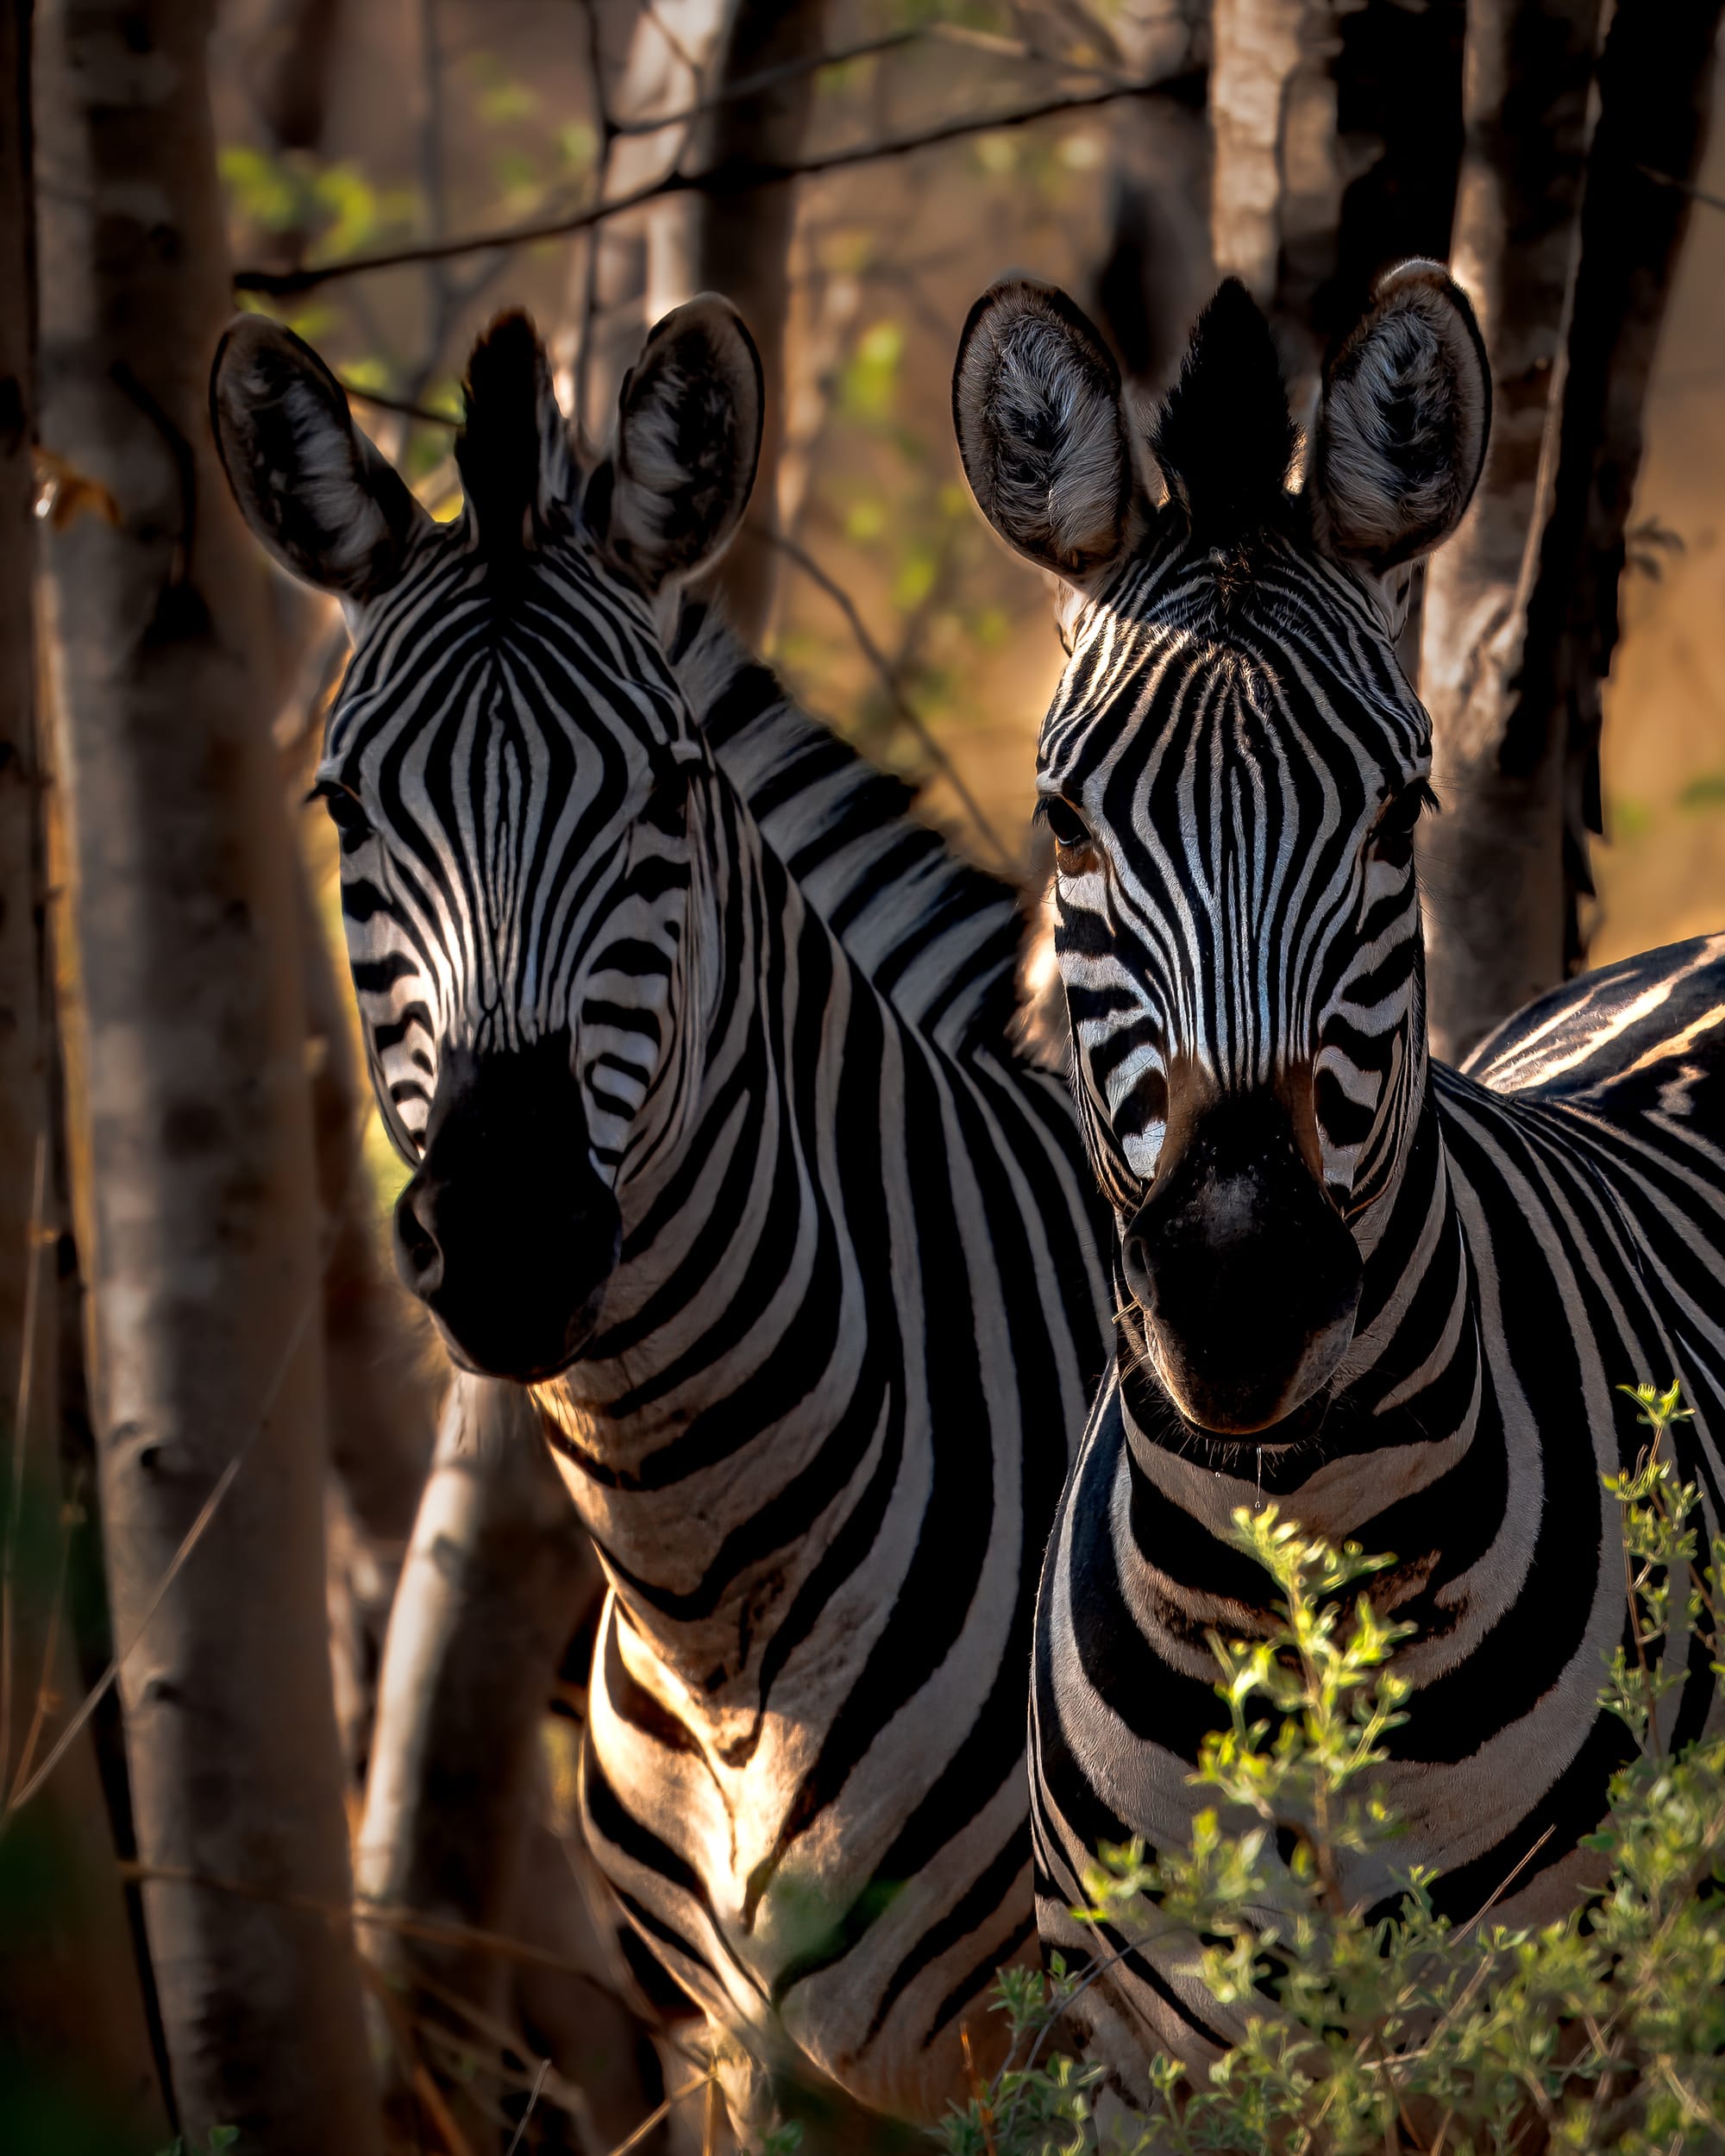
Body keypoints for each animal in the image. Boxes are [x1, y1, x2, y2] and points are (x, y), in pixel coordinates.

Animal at [210, 298, 1112, 2128]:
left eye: (661, 793)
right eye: (343, 807)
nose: (507, 1232)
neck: (716, 1598)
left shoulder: (1078, 2050)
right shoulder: (736, 2059)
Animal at [950, 260, 1725, 2093]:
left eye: (1399, 814)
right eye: (1065, 827)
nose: (1242, 1299)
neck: (1277, 1563)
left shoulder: (1554, 2043)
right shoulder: (1133, 2053)